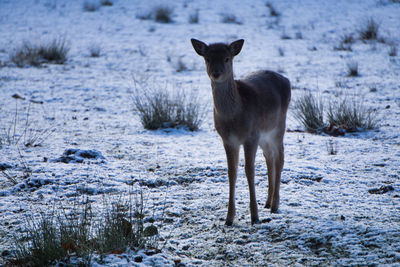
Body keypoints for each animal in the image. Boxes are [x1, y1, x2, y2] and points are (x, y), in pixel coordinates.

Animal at [191, 38, 290, 226]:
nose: (216, 73)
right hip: (264, 134)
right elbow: (232, 172)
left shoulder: (251, 136)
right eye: (207, 59)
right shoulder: (228, 139)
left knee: (280, 158)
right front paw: (229, 218)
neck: (234, 119)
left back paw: (275, 205)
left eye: (227, 58)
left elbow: (249, 171)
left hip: (278, 126)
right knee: (269, 157)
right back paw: (267, 202)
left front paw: (254, 217)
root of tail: (286, 79)